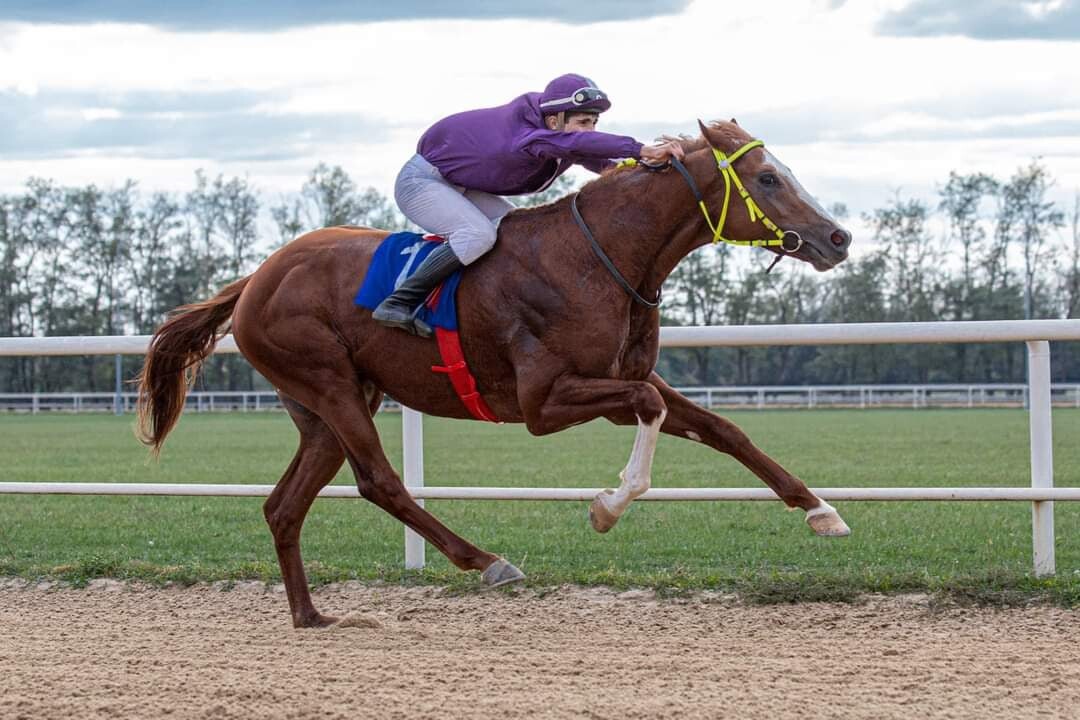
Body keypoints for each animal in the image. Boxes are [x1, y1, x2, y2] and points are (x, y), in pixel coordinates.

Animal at [137, 118, 851, 626]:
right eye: (767, 178)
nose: (837, 238)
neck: (600, 259)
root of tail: (256, 278)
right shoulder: (543, 402)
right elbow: (647, 408)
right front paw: (608, 505)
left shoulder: (622, 381)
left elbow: (724, 429)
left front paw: (821, 511)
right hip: (329, 383)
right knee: (379, 482)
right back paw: (485, 561)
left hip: (321, 407)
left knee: (285, 506)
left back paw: (311, 616)